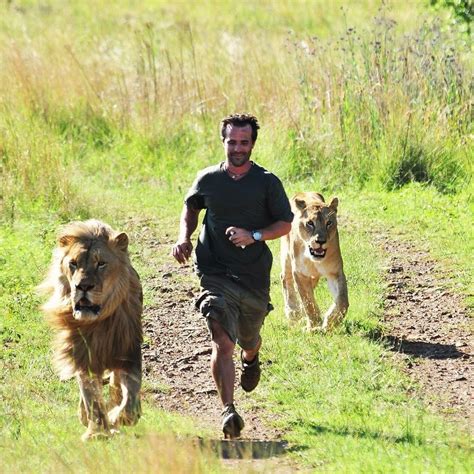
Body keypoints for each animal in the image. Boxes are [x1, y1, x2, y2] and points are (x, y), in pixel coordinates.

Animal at [39, 220, 143, 442]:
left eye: (101, 263)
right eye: (73, 264)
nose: (83, 286)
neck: (98, 323)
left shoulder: (129, 353)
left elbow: (131, 400)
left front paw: (115, 418)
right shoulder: (84, 356)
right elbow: (90, 396)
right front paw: (97, 432)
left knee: (115, 384)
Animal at [282, 192, 348, 330]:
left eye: (329, 223)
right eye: (310, 223)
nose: (321, 241)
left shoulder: (335, 272)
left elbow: (343, 300)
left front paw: (331, 322)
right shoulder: (300, 273)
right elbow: (308, 302)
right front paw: (314, 326)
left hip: (314, 275)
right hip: (287, 254)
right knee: (285, 277)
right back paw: (293, 311)